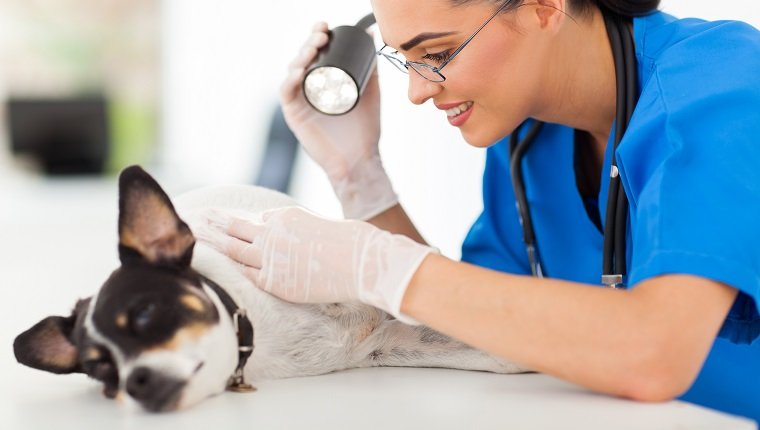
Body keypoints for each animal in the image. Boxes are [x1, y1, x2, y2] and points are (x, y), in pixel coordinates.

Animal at [13, 165, 524, 414]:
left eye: (144, 313)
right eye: (102, 372)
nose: (134, 383)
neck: (257, 330)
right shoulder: (392, 344)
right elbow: (497, 355)